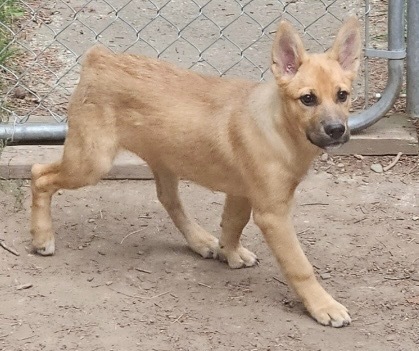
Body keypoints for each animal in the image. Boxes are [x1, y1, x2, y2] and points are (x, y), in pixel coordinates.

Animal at [31, 17, 362, 330]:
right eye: (308, 99)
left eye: (342, 95)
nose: (337, 130)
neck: (279, 127)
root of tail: (100, 58)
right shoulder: (273, 213)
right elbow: (299, 265)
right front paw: (324, 306)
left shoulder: (241, 192)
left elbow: (232, 224)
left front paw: (230, 253)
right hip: (91, 162)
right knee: (39, 175)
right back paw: (42, 237)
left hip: (163, 160)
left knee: (168, 200)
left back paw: (201, 241)